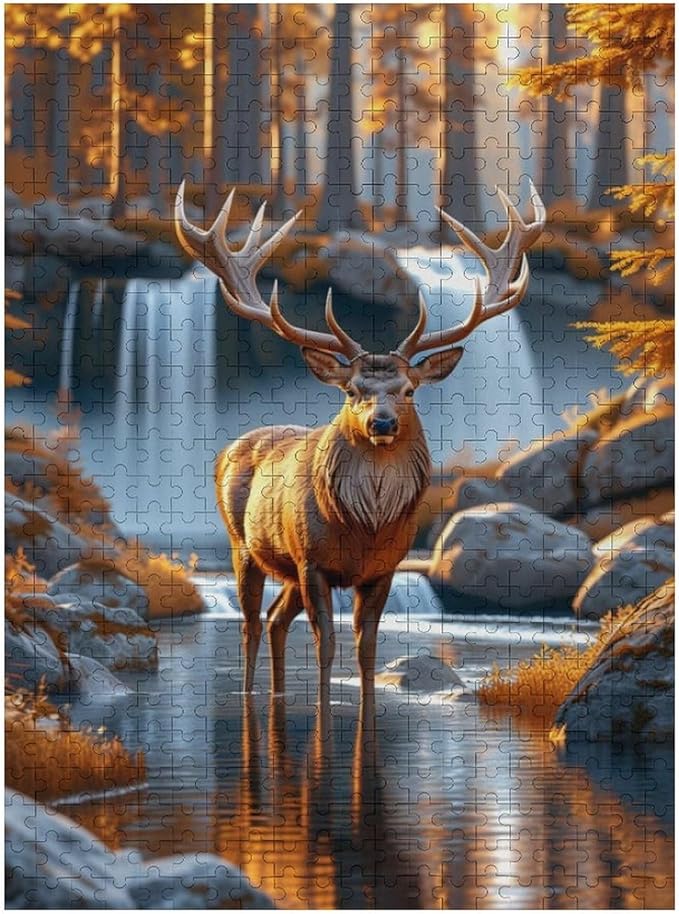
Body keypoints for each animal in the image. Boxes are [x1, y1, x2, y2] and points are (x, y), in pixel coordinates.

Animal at [174, 182, 545, 708]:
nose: (382, 422)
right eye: (352, 391)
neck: (365, 524)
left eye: (408, 390)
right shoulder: (313, 562)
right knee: (251, 623)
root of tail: (228, 448)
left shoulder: (382, 570)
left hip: (287, 570)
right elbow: (326, 642)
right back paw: (250, 694)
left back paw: (278, 696)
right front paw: (324, 709)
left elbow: (366, 645)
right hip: (243, 545)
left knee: (275, 619)